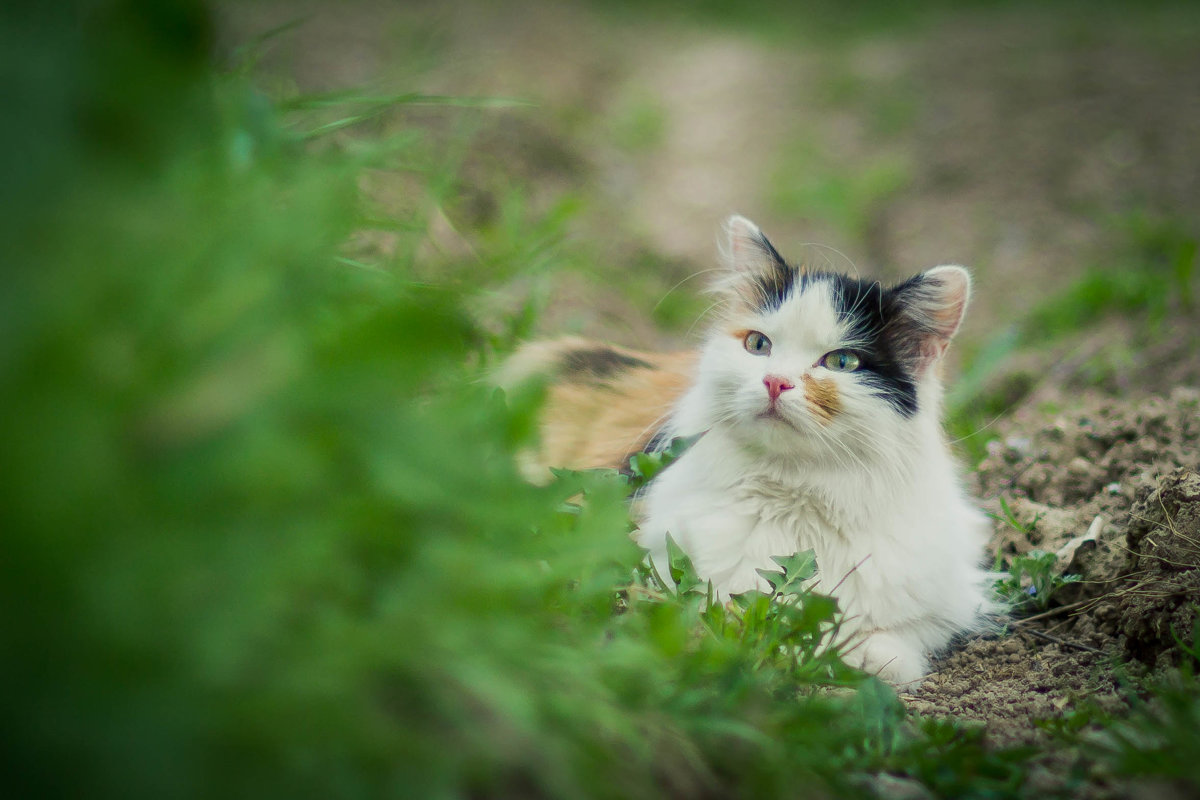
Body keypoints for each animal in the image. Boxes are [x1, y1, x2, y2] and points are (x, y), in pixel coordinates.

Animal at [496, 215, 993, 686]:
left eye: (841, 362)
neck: (796, 495)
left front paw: (864, 656)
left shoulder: (949, 596)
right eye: (759, 345)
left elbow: (900, 638)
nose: (775, 382)